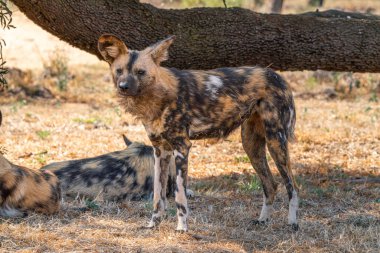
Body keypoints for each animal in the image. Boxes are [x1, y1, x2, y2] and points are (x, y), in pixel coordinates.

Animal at [98, 35, 300, 231]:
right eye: (119, 71)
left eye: (141, 72)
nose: (123, 86)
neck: (157, 96)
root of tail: (275, 74)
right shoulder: (160, 151)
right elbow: (158, 197)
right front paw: (153, 224)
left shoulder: (182, 148)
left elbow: (180, 197)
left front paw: (181, 228)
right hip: (251, 146)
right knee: (271, 185)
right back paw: (263, 220)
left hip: (276, 142)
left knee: (293, 186)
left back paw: (292, 223)